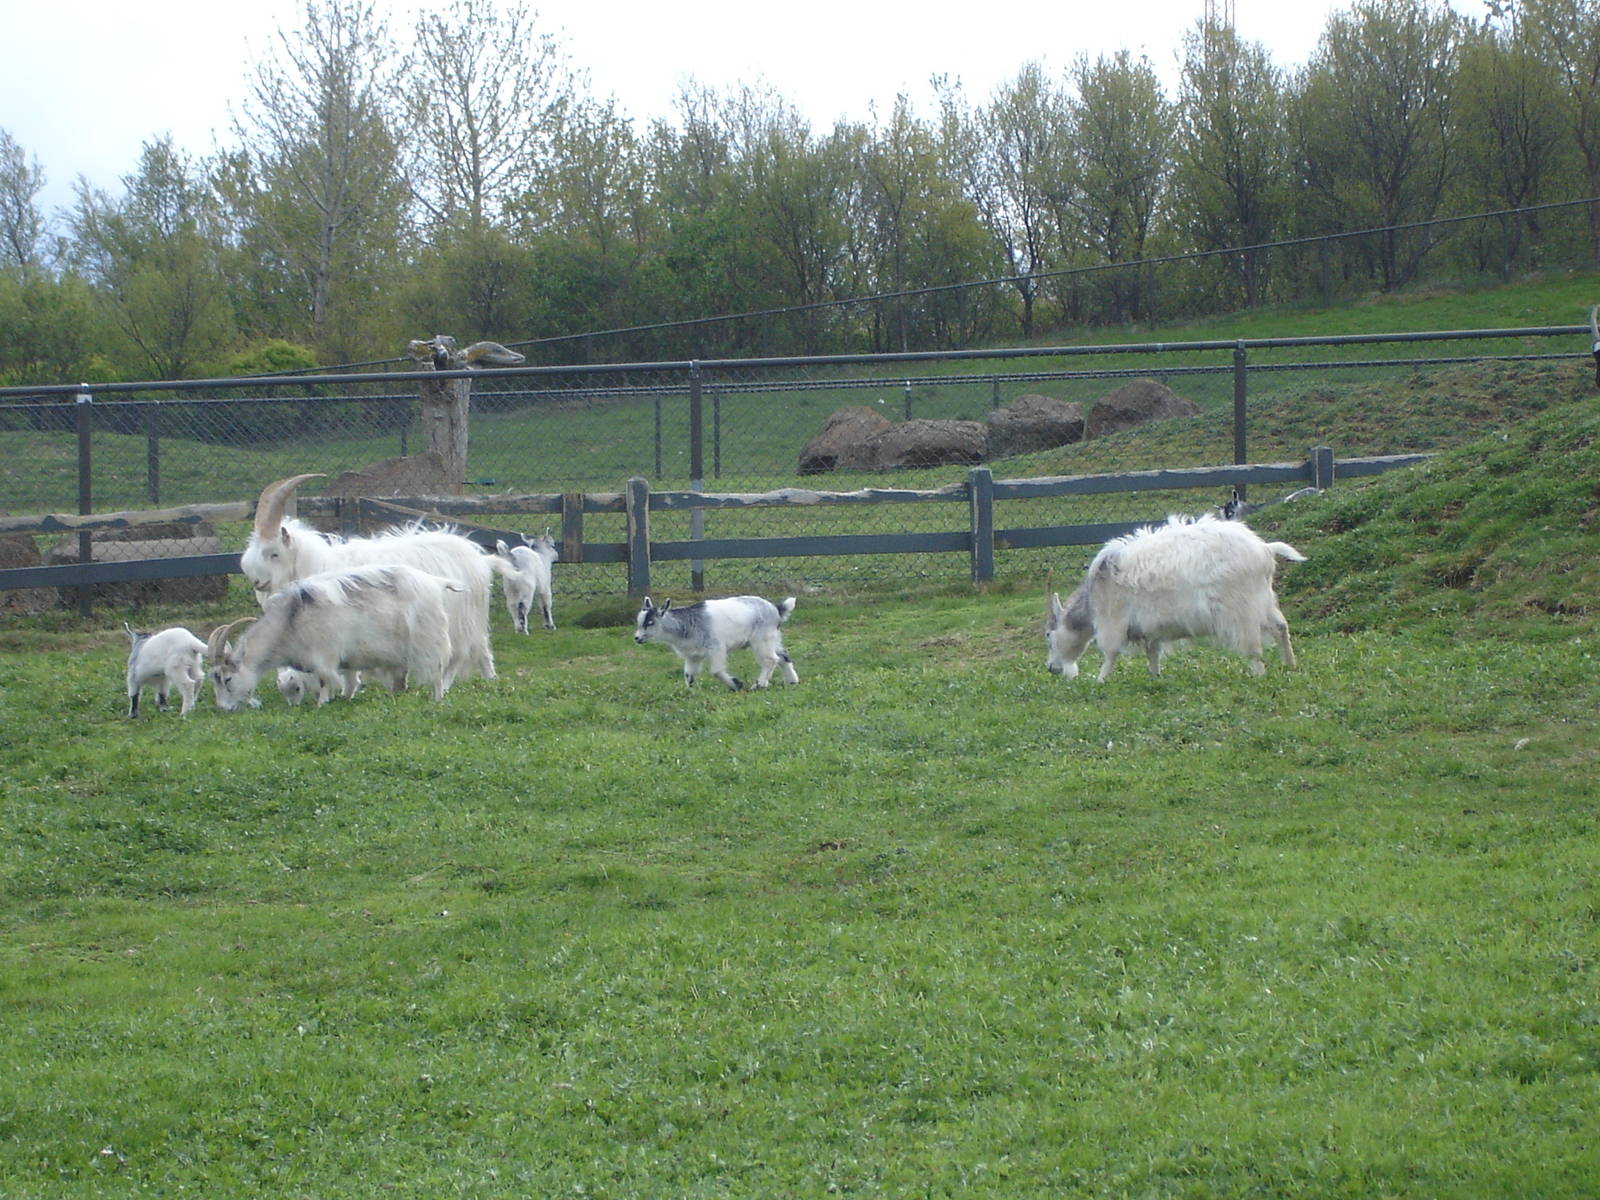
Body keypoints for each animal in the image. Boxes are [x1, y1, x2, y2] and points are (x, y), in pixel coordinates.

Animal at [208, 564, 462, 711]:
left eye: (227, 679)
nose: (224, 708)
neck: (289, 623)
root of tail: (435, 582)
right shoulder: (346, 659)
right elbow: (349, 680)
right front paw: (345, 698)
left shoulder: (324, 656)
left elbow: (324, 681)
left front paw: (322, 704)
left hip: (429, 640)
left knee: (437, 672)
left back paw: (437, 699)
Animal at [239, 474, 496, 685]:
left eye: (274, 553)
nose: (257, 582)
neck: (318, 564)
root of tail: (478, 556)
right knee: (481, 648)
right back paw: (490, 679)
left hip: (460, 620)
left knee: (461, 653)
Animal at [633, 595, 799, 690]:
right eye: (640, 622)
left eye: (650, 622)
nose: (637, 638)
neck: (688, 624)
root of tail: (776, 609)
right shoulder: (693, 654)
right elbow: (689, 674)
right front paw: (689, 692)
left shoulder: (716, 648)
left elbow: (716, 671)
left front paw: (736, 685)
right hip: (772, 638)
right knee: (783, 655)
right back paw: (792, 681)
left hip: (761, 638)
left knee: (770, 660)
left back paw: (760, 685)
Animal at [1046, 514, 1305, 682]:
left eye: (1049, 635)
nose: (1051, 668)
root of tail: (1265, 549)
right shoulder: (1149, 629)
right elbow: (1152, 653)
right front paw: (1155, 677)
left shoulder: (1112, 621)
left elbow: (1110, 653)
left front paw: (1100, 680)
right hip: (1264, 600)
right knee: (1281, 627)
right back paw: (1290, 666)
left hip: (1242, 610)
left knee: (1253, 647)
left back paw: (1259, 675)